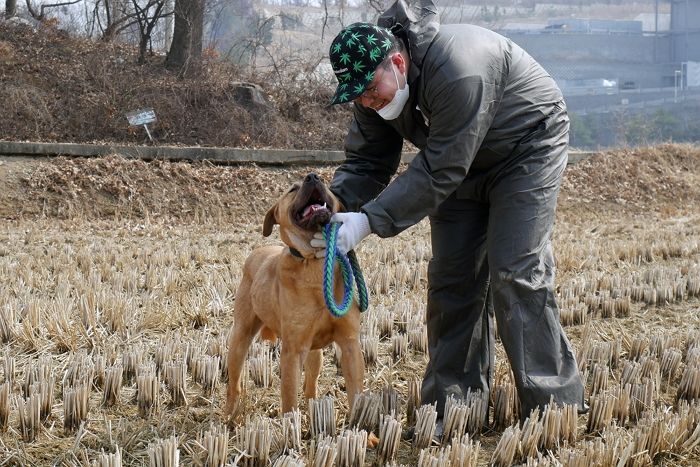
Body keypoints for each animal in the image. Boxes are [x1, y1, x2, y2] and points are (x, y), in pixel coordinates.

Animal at [226, 172, 366, 416]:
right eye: (292, 189)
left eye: (326, 183)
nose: (313, 176)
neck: (313, 262)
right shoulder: (293, 351)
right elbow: (289, 403)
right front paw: (292, 425)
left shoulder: (350, 344)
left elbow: (355, 395)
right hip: (241, 336)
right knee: (233, 383)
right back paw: (229, 415)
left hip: (315, 353)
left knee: (311, 386)